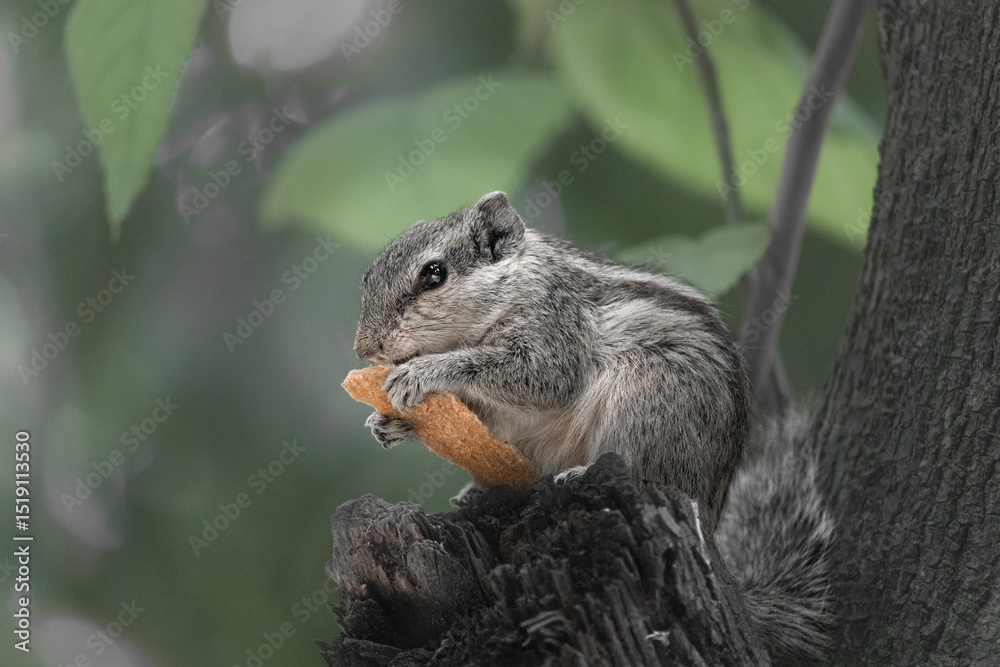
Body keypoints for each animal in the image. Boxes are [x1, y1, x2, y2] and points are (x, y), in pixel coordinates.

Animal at [353, 191, 832, 662]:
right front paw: (387, 424)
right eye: (367, 277)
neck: (514, 283)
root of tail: (709, 520)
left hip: (645, 404)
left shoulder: (552, 335)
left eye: (434, 275)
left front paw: (422, 372)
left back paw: (581, 473)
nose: (364, 348)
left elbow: (532, 378)